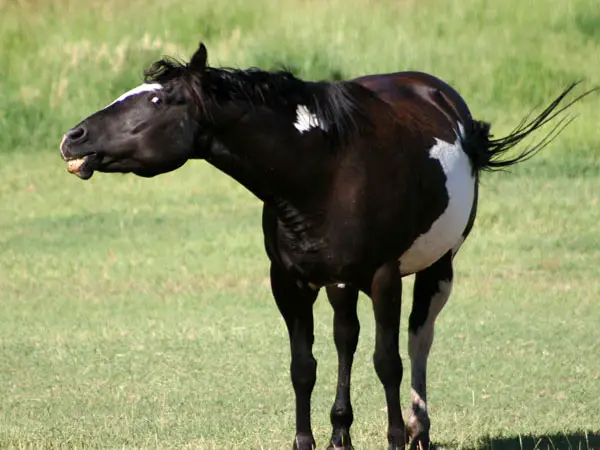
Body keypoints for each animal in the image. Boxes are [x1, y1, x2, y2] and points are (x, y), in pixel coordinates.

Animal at [58, 40, 592, 448]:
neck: (322, 170)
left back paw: (417, 429)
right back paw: (344, 433)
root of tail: (439, 95)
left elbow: (387, 362)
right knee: (347, 339)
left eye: (156, 102)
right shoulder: (290, 284)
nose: (73, 137)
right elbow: (305, 366)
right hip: (342, 283)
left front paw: (393, 437)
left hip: (435, 265)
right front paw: (311, 440)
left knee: (418, 338)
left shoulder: (381, 277)